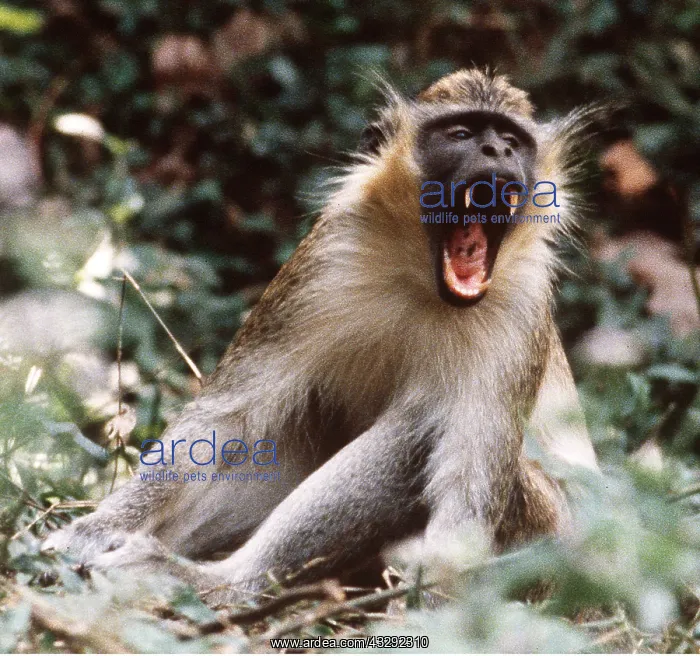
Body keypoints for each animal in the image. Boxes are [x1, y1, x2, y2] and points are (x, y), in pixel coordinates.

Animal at [43, 68, 600, 605]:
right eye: (461, 133)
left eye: (512, 139)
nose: (497, 152)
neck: (422, 283)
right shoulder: (322, 260)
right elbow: (225, 419)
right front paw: (97, 526)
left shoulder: (522, 310)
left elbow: (465, 498)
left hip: (547, 545)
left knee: (419, 428)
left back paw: (218, 582)